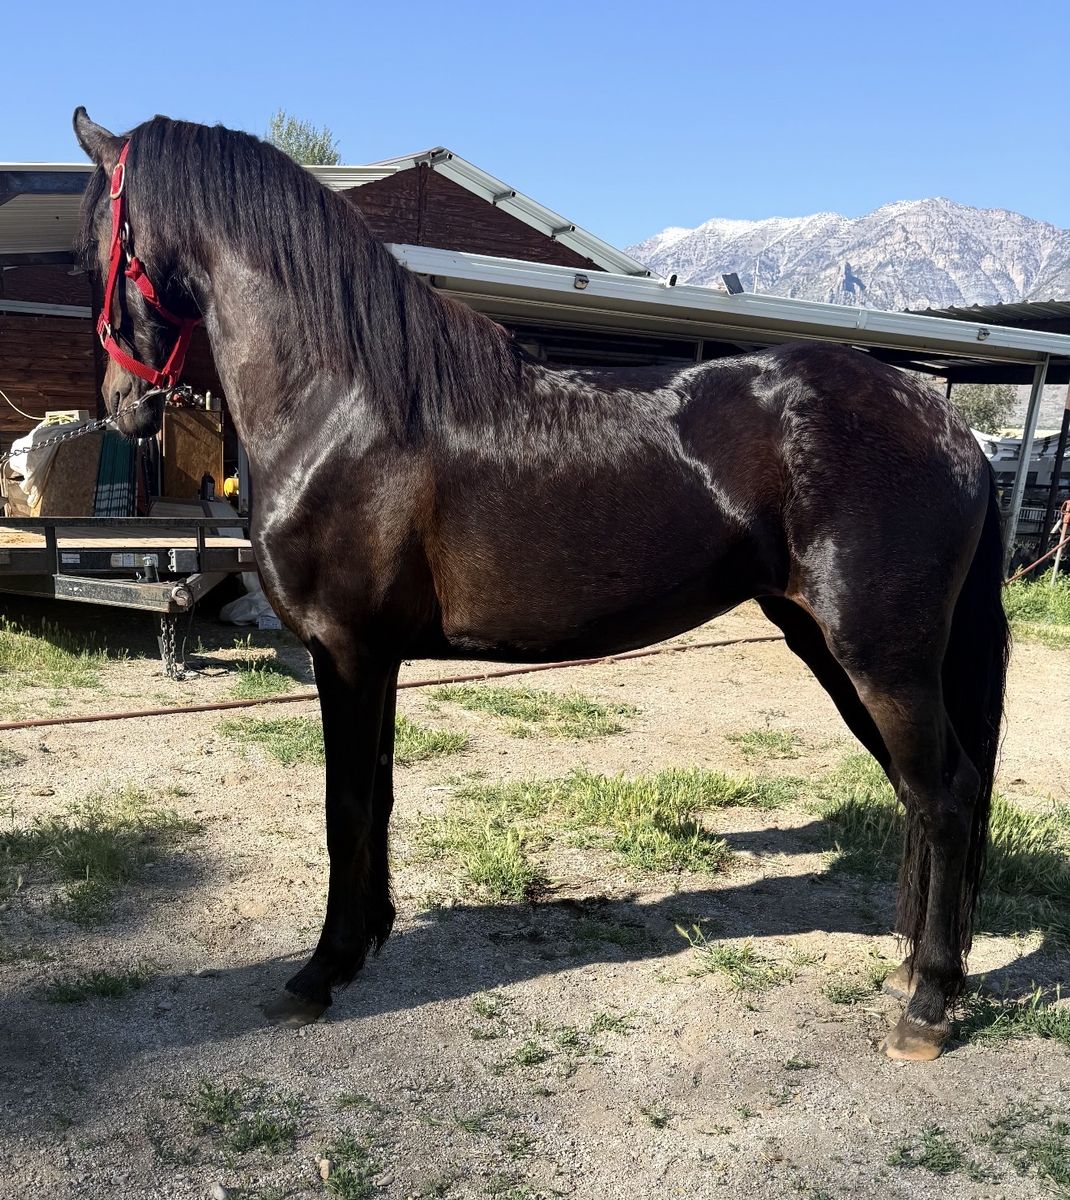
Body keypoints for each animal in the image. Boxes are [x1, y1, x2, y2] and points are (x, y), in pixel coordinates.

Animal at [73, 108, 1010, 1061]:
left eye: (92, 247)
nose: (119, 403)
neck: (344, 405)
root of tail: (953, 430)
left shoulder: (345, 652)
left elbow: (345, 809)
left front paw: (319, 974)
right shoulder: (379, 661)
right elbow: (378, 801)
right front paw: (367, 942)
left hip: (880, 655)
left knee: (944, 796)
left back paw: (926, 1003)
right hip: (831, 644)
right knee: (924, 790)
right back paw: (909, 970)